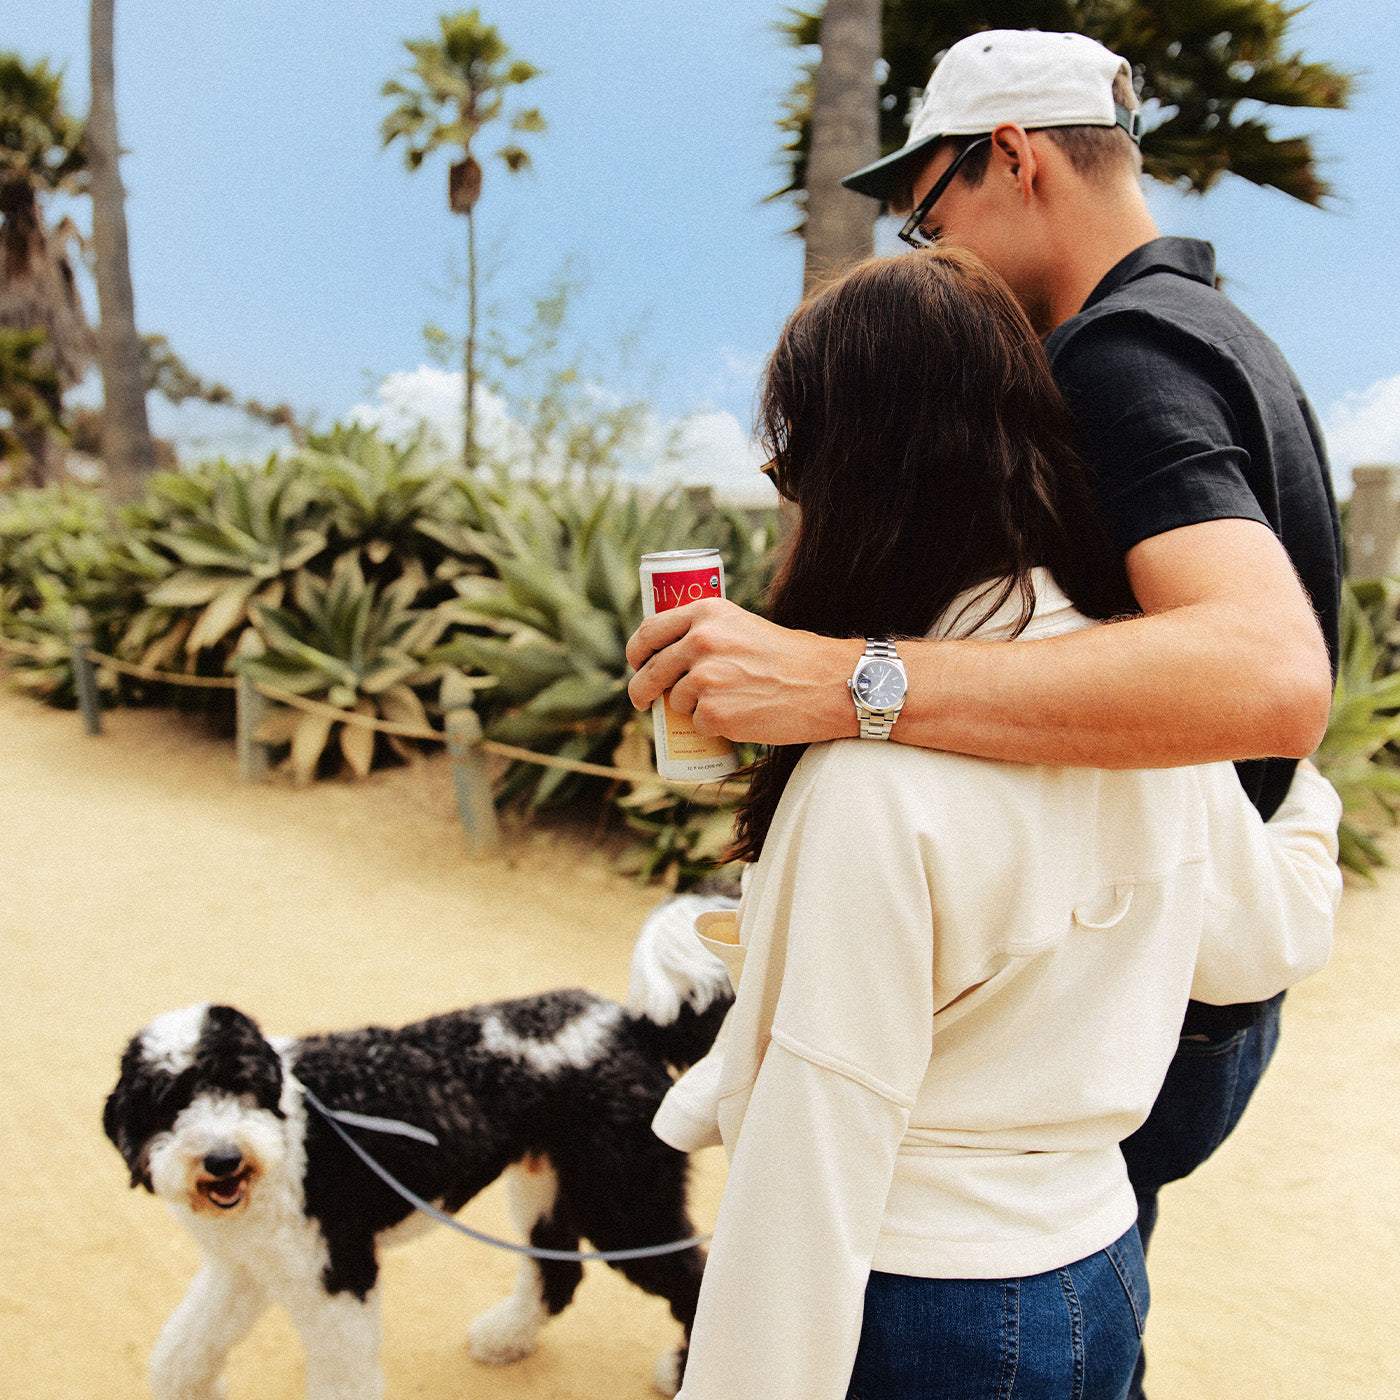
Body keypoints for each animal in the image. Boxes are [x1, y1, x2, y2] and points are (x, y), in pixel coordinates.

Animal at [103, 896, 739, 1400]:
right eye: (168, 1102)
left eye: (242, 1084)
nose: (223, 1159)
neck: (286, 1136)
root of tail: (630, 1026)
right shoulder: (242, 1269)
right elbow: (182, 1350)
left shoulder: (339, 1276)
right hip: (549, 1188)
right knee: (557, 1273)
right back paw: (506, 1337)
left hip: (624, 1204)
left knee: (693, 1279)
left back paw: (682, 1373)